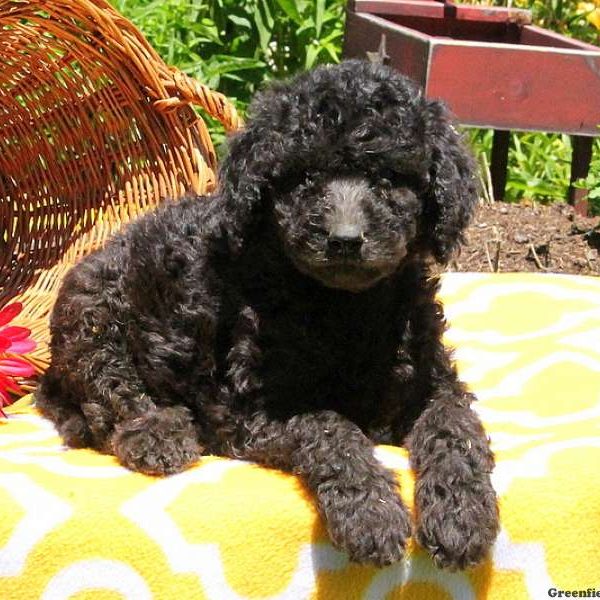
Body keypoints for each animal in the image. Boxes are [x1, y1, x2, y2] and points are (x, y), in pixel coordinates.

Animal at [35, 61, 500, 572]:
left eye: (389, 177)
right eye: (306, 176)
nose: (344, 239)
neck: (345, 307)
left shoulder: (434, 383)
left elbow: (456, 428)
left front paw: (461, 516)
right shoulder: (250, 410)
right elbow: (329, 426)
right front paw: (370, 514)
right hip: (92, 312)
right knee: (111, 401)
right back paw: (160, 434)